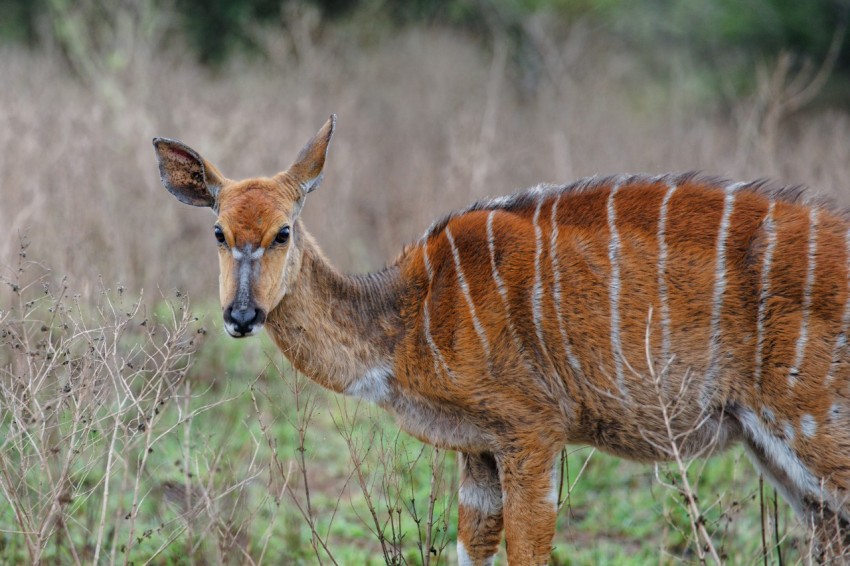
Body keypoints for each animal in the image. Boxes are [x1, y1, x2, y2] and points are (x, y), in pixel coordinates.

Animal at [156, 115, 848, 564]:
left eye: (283, 231)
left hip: (817, 430)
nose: (241, 315)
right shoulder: (480, 453)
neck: (407, 320)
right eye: (219, 231)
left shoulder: (533, 431)